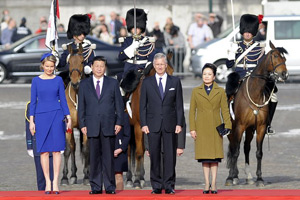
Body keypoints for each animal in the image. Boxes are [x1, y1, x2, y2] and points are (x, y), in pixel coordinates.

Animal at [225, 41, 288, 188]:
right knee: (233, 147)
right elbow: (235, 152)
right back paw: (234, 176)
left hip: (249, 130)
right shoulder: (239, 126)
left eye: (285, 58)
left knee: (246, 148)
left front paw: (259, 178)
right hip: (233, 130)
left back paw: (248, 176)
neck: (255, 92)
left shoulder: (260, 128)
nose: (284, 74)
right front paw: (230, 177)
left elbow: (259, 153)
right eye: (275, 56)